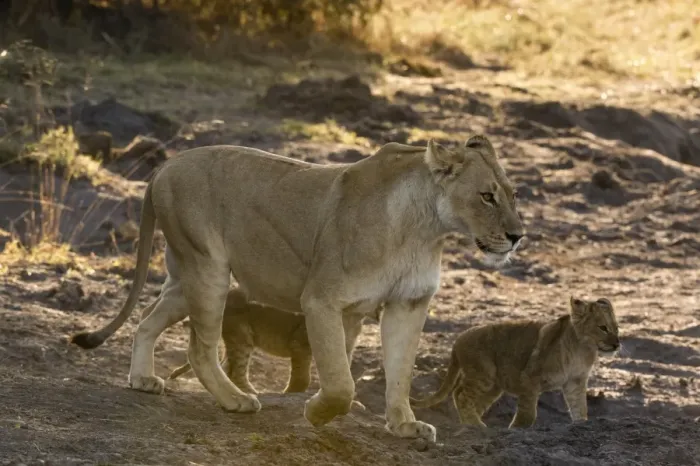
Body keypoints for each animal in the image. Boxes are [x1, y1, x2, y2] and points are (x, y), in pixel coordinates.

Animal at [167, 286, 377, 394]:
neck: (350, 320)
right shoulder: (299, 343)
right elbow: (301, 374)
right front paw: (292, 392)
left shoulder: (347, 349)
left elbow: (345, 376)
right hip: (242, 337)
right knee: (237, 371)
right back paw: (251, 394)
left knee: (228, 367)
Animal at [410, 296, 620, 428]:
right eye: (603, 328)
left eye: (617, 328)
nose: (617, 344)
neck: (583, 349)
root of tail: (458, 339)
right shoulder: (530, 377)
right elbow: (528, 410)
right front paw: (518, 427)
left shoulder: (575, 382)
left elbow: (579, 406)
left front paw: (581, 424)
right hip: (483, 374)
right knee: (460, 394)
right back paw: (477, 425)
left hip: (493, 386)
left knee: (470, 399)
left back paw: (471, 424)